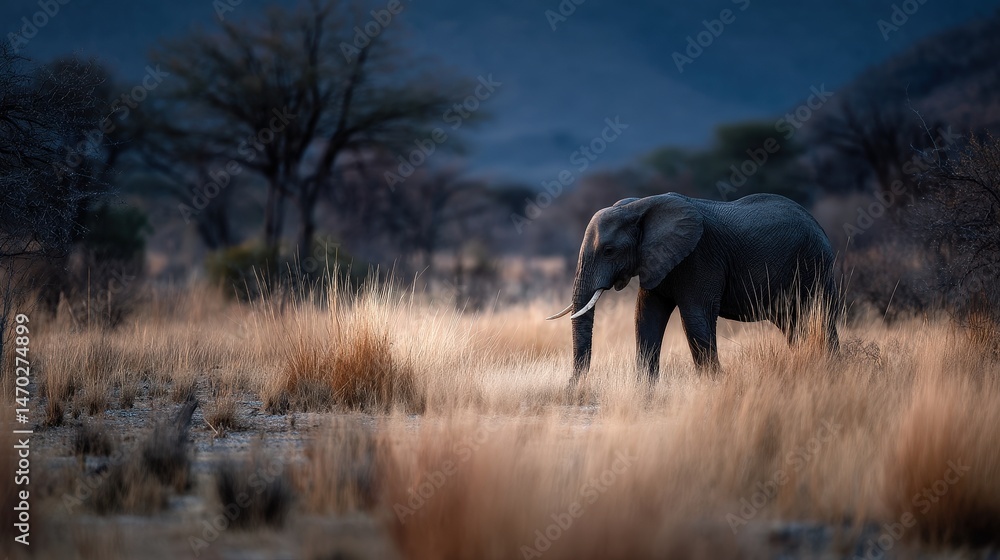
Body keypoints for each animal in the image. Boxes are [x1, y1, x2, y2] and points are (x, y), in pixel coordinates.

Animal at [546, 192, 839, 381]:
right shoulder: (657, 260)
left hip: (815, 265)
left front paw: (716, 383)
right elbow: (646, 315)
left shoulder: (700, 257)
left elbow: (695, 317)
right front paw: (645, 390)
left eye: (608, 251)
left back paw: (831, 367)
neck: (640, 206)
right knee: (794, 324)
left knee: (820, 317)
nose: (572, 386)